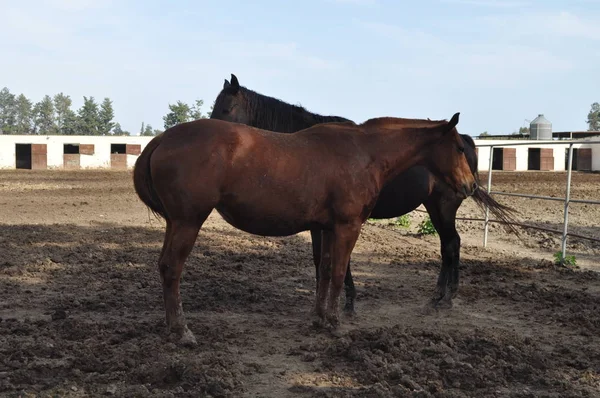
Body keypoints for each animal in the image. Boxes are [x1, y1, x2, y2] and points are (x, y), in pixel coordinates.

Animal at [134, 113, 476, 344]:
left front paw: (318, 319)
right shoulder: (347, 227)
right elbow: (337, 273)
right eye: (458, 148)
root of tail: (163, 139)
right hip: (187, 222)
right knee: (172, 268)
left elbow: (323, 271)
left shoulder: (324, 228)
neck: (364, 153)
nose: (470, 185)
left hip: (176, 223)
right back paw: (181, 330)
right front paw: (335, 323)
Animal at [210, 73, 516, 312]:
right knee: (448, 245)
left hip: (444, 206)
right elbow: (326, 260)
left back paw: (445, 298)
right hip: (433, 207)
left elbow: (331, 261)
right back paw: (440, 296)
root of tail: (466, 140)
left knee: (451, 244)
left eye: (226, 109)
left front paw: (344, 303)